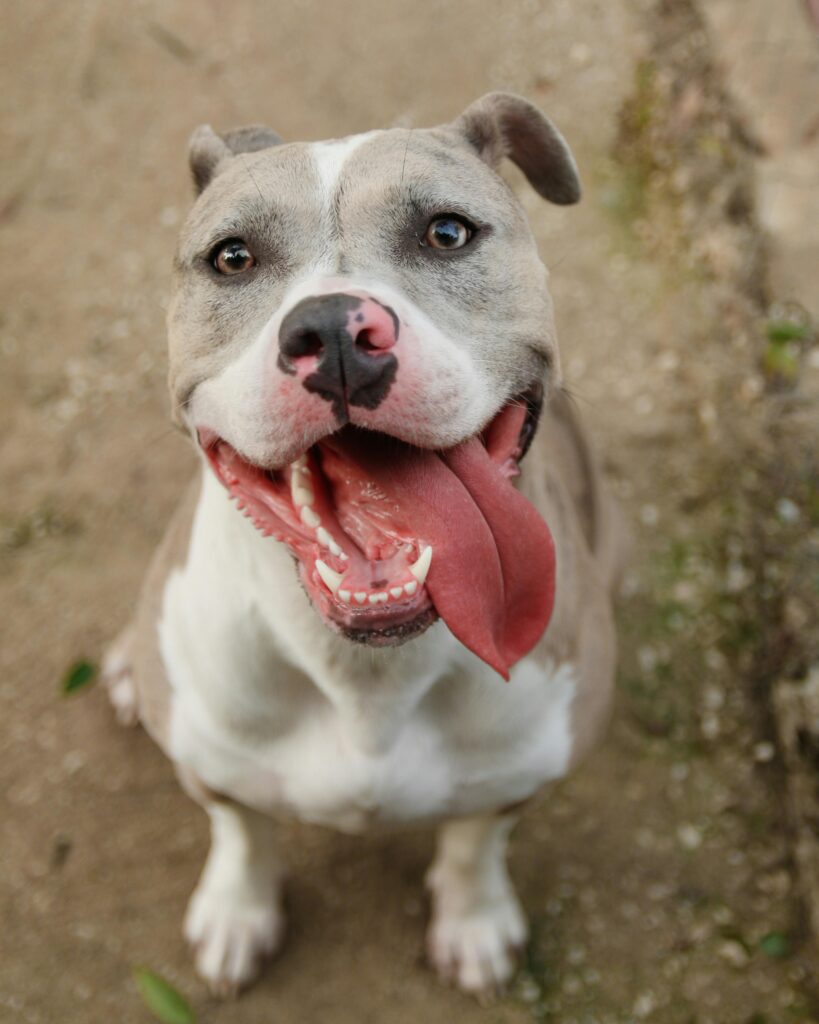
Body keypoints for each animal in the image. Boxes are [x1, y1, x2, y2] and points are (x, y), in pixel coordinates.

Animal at [102, 92, 618, 995]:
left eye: (446, 232)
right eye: (231, 257)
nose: (336, 331)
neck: (366, 676)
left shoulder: (526, 766)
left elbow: (475, 839)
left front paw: (473, 919)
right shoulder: (211, 760)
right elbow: (240, 829)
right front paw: (237, 912)